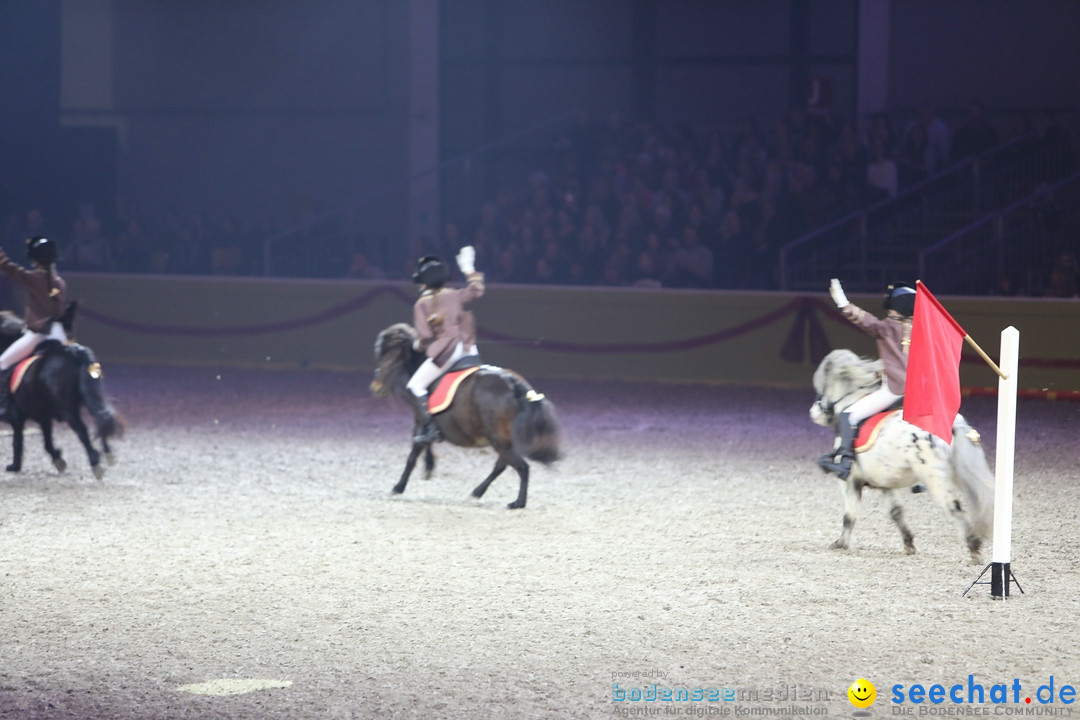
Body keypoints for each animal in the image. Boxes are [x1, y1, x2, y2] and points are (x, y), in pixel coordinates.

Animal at [0, 310, 124, 479]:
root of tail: (70, 352)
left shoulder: (18, 417)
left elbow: (17, 441)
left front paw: (14, 466)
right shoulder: (43, 416)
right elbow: (47, 442)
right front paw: (58, 461)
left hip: (68, 410)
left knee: (82, 430)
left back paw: (95, 463)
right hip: (89, 397)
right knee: (101, 416)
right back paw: (108, 454)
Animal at [371, 323, 561, 509]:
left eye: (389, 355)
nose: (375, 388)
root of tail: (511, 382)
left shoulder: (418, 423)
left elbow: (412, 457)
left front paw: (398, 487)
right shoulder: (424, 425)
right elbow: (427, 443)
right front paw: (429, 467)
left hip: (499, 439)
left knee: (521, 467)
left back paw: (517, 503)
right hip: (504, 440)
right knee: (502, 465)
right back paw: (478, 492)